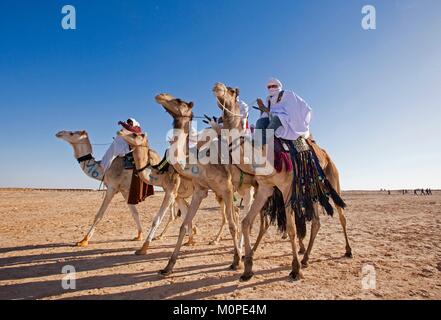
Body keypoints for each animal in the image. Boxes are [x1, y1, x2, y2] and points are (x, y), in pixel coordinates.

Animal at [211, 82, 352, 280]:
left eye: (231, 91)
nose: (217, 86)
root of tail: (325, 154)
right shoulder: (265, 188)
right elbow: (246, 222)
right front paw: (247, 269)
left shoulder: (286, 188)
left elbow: (292, 229)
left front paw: (295, 269)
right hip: (313, 190)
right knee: (316, 223)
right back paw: (306, 258)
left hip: (332, 180)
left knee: (341, 216)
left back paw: (347, 251)